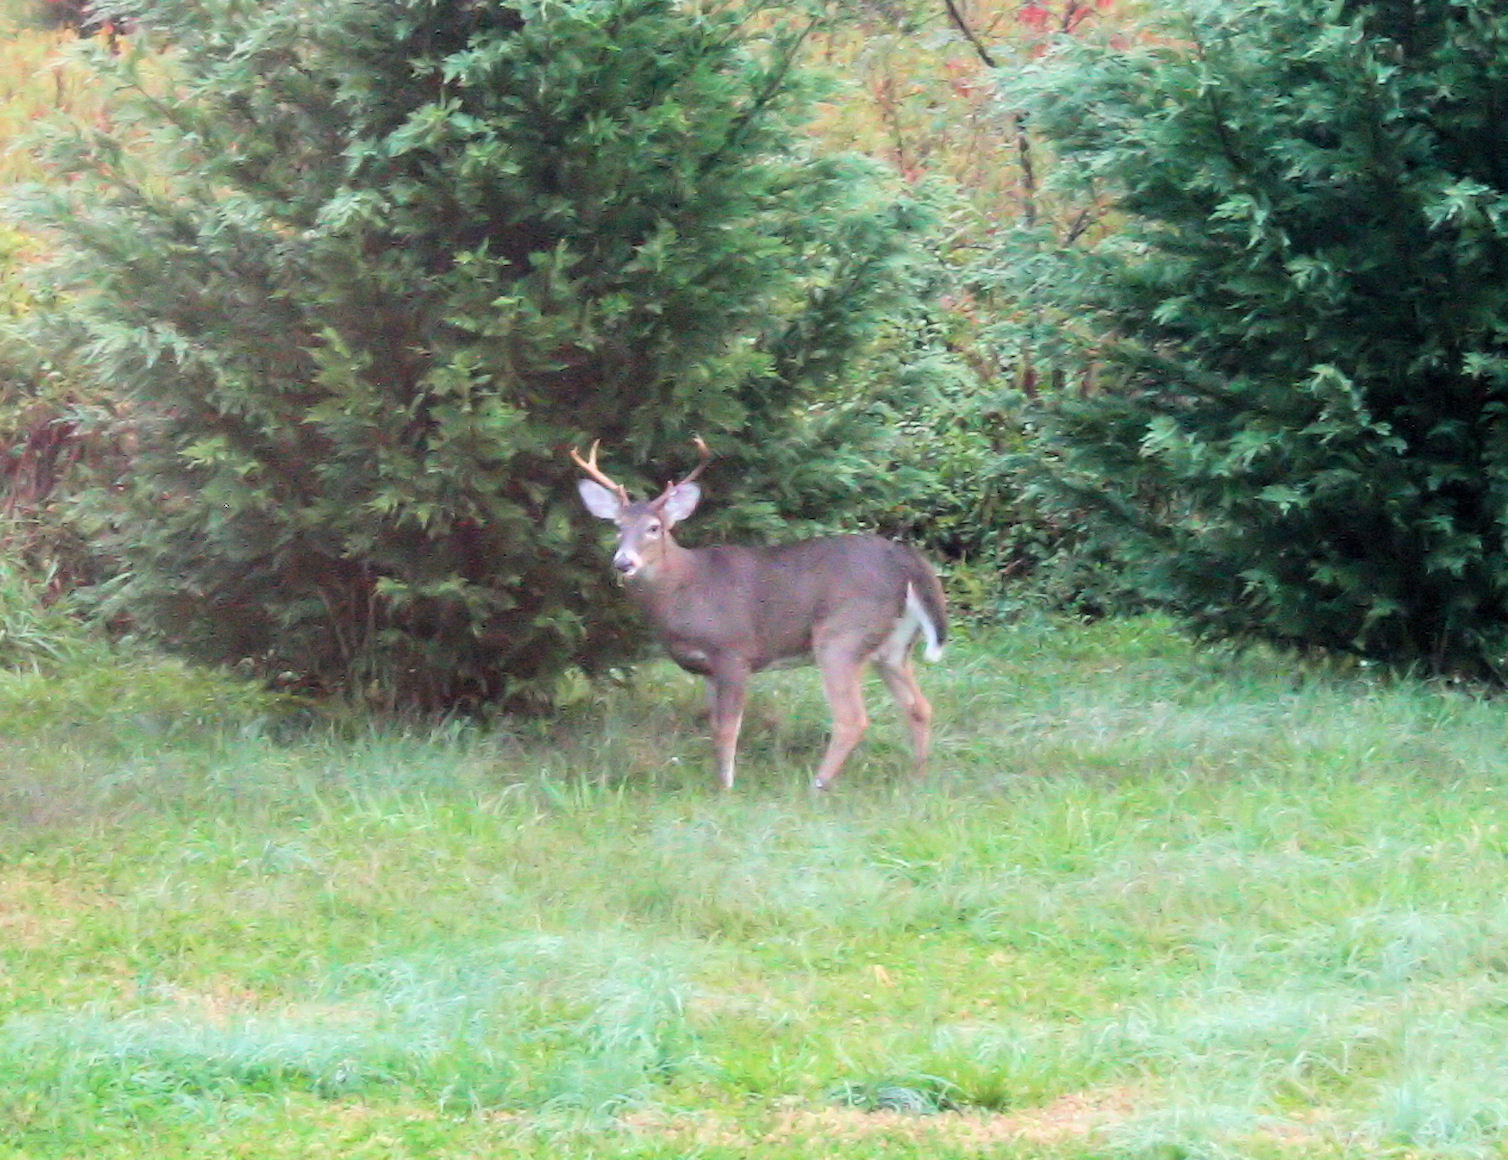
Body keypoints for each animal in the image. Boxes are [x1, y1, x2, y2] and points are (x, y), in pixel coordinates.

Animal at [570, 440, 947, 790]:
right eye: (617, 527)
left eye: (654, 528)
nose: (623, 562)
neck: (683, 590)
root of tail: (906, 560)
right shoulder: (709, 669)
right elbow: (714, 725)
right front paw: (717, 779)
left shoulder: (734, 652)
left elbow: (728, 728)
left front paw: (726, 787)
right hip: (893, 646)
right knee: (919, 707)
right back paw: (918, 777)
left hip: (842, 633)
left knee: (852, 717)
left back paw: (818, 785)